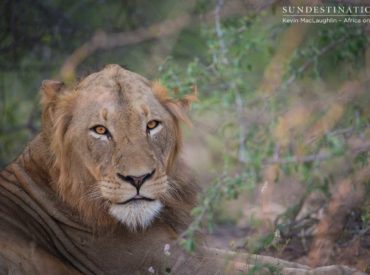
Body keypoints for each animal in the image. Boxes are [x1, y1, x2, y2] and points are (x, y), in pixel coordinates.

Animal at [0, 64, 358, 274]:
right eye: (100, 130)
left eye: (152, 125)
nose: (138, 178)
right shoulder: (163, 261)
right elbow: (255, 268)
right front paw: (338, 271)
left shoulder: (183, 247)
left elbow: (265, 259)